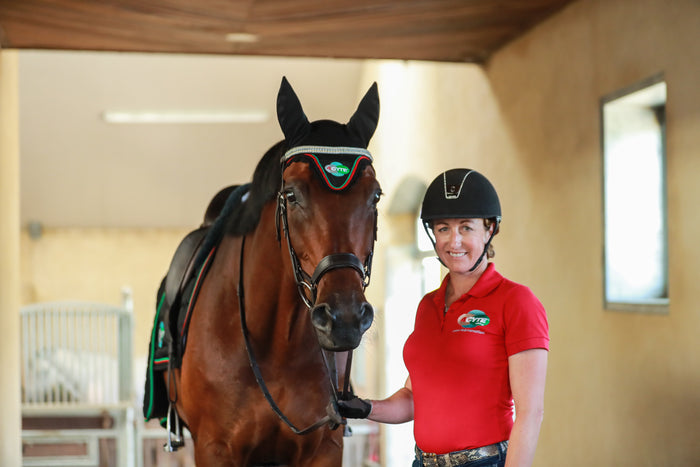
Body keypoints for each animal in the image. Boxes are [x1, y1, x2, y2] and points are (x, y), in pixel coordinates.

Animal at [163, 77, 381, 466]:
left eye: (375, 196)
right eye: (292, 195)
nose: (344, 318)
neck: (278, 344)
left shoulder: (325, 447)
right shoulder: (213, 448)